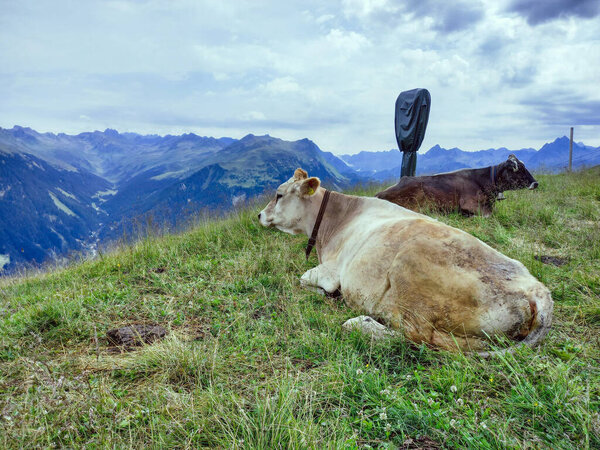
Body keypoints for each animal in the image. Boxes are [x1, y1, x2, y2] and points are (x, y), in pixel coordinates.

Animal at [258, 167, 552, 354]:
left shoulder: (331, 271)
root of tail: (539, 292)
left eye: (279, 195)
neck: (335, 221)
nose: (259, 215)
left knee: (417, 337)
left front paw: (326, 294)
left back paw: (361, 323)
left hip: (410, 269)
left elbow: (305, 280)